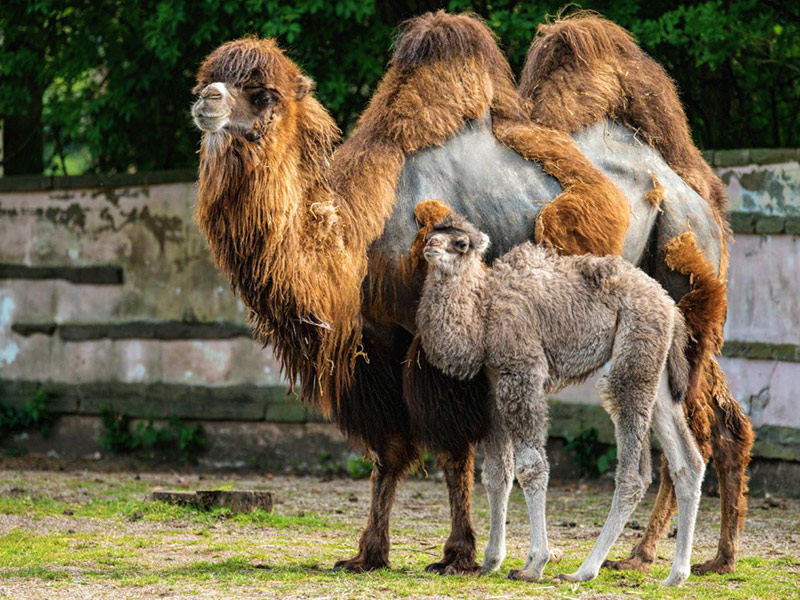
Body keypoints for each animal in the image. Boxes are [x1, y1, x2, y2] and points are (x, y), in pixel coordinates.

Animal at [416, 206, 704, 584]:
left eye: (461, 243)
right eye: (430, 233)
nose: (431, 246)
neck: (482, 316)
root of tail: (671, 307)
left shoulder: (522, 371)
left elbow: (531, 467)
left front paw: (533, 564)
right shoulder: (495, 386)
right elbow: (496, 472)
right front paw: (491, 560)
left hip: (633, 354)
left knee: (633, 471)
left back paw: (584, 570)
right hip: (658, 371)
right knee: (687, 461)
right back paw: (676, 575)